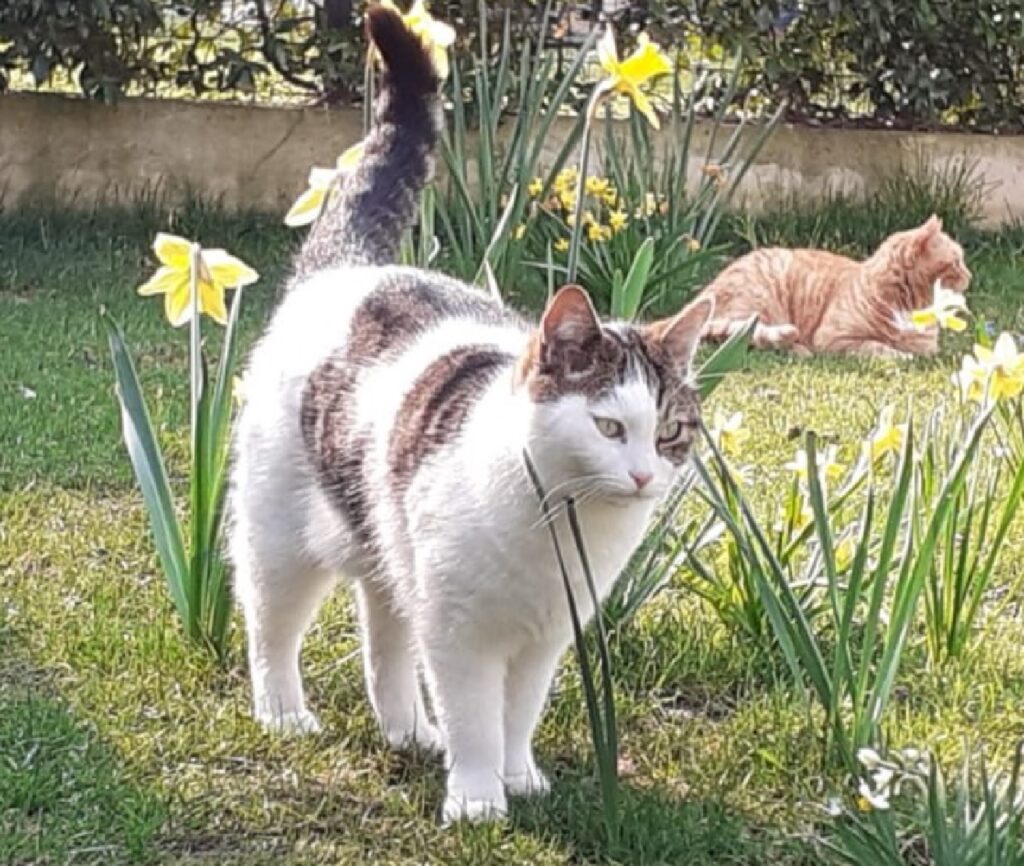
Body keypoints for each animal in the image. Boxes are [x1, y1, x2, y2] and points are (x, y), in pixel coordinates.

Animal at [230, 6, 712, 827]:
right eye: (609, 427)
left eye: (672, 431)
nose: (646, 476)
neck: (560, 531)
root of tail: (347, 269)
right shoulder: (460, 634)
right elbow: (477, 718)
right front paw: (480, 800)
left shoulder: (546, 637)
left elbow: (518, 714)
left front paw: (520, 777)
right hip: (281, 540)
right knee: (271, 628)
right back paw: (285, 714)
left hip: (388, 551)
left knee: (385, 639)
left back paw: (406, 729)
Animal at [700, 217, 970, 360]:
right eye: (956, 262)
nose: (970, 276)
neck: (909, 305)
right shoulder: (835, 338)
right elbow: (875, 345)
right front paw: (899, 356)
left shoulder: (928, 348)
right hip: (761, 302)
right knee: (743, 337)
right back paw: (798, 348)